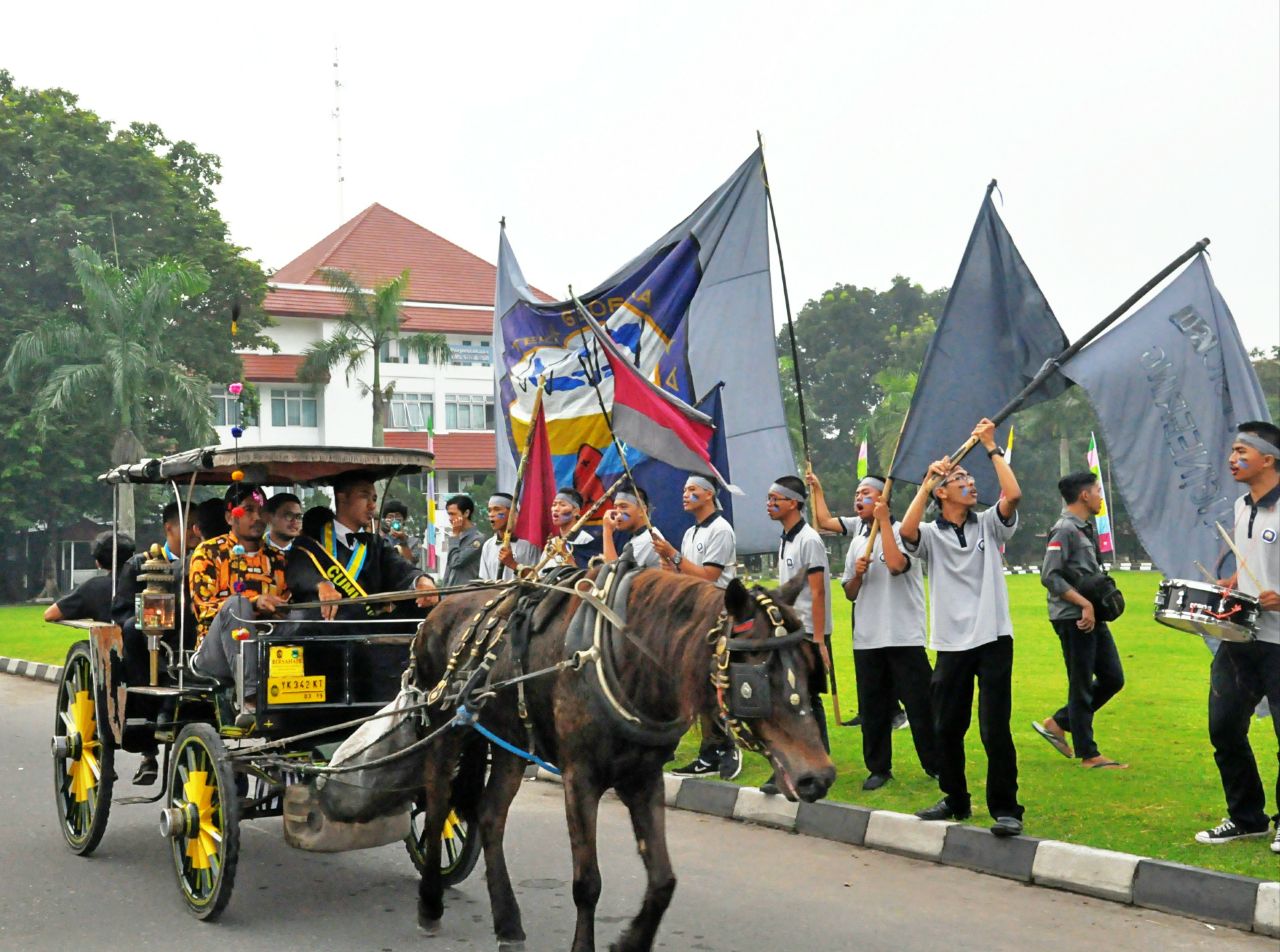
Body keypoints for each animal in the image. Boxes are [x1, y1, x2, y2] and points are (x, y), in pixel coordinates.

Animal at [325, 568, 834, 946]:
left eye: (810, 668)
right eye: (759, 677)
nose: (820, 776)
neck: (625, 657)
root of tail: (439, 610)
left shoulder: (643, 777)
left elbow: (663, 881)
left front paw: (630, 942)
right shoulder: (580, 777)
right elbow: (587, 883)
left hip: (508, 741)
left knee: (489, 816)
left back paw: (507, 921)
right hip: (445, 729)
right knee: (436, 806)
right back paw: (431, 901)